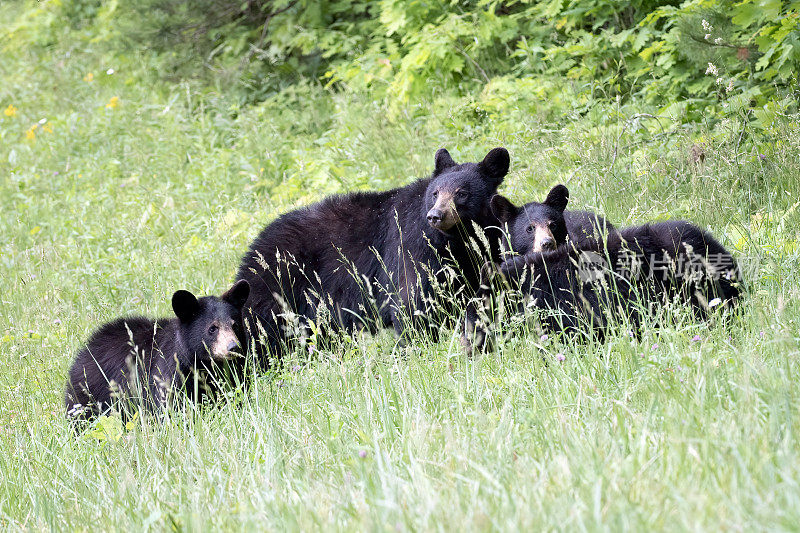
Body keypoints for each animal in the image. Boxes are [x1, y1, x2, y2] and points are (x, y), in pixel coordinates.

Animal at [66, 280, 250, 422]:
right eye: (212, 328)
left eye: (235, 325)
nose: (233, 347)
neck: (204, 365)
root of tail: (86, 348)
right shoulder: (170, 374)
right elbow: (169, 406)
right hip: (92, 392)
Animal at [238, 145, 510, 364]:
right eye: (435, 193)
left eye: (461, 193)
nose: (435, 215)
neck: (456, 241)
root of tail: (251, 249)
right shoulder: (413, 247)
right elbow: (413, 301)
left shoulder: (483, 250)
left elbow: (484, 296)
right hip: (277, 289)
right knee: (263, 333)